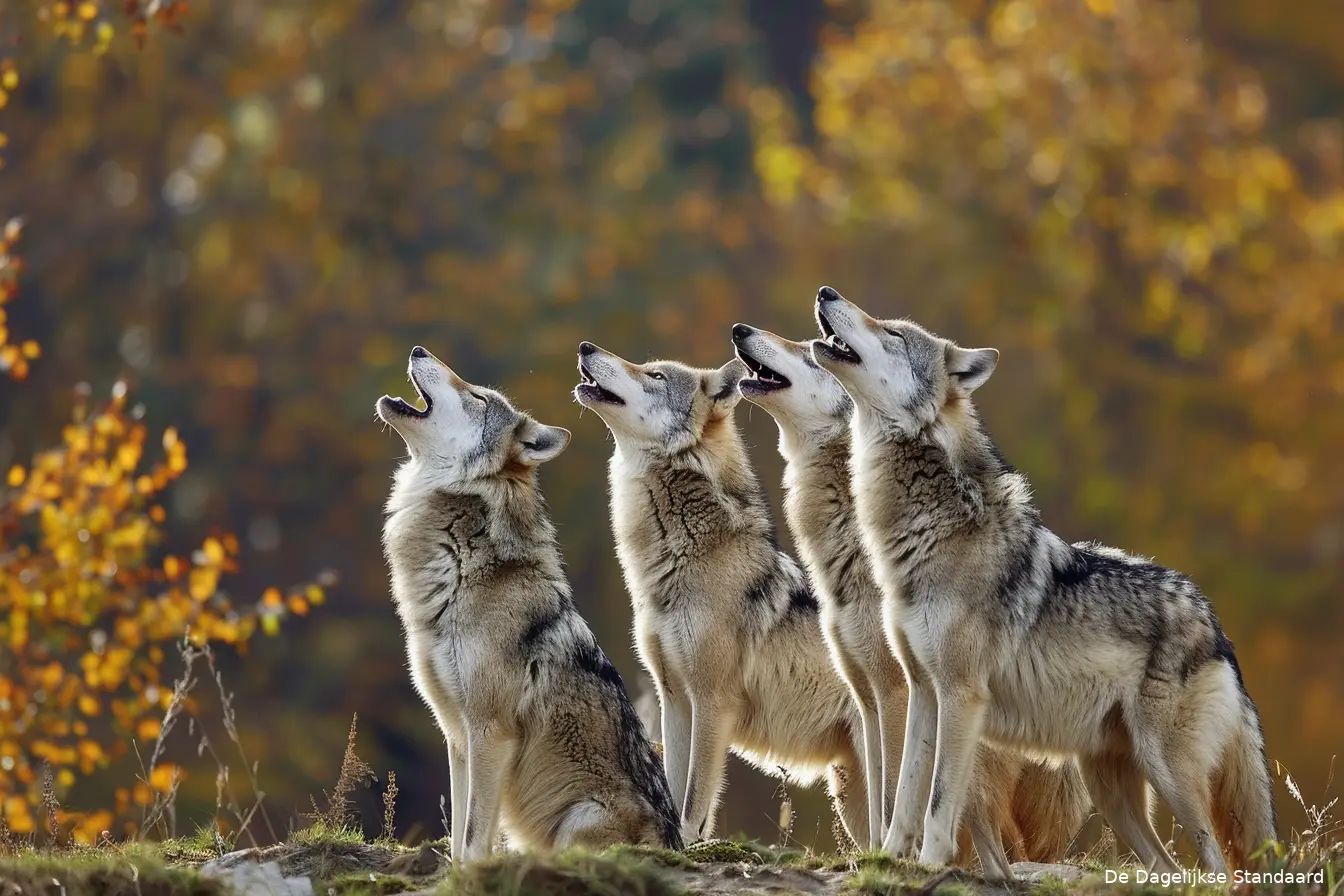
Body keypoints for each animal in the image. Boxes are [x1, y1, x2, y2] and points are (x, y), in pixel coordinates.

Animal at [377, 346, 683, 862]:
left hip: (578, 817)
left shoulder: (490, 733)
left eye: (478, 398)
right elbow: (458, 840)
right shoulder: (457, 737)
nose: (418, 350)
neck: (465, 566)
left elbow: (474, 840)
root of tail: (676, 847)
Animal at [573, 341, 874, 848]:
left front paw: (691, 845)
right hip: (852, 796)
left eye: (655, 376)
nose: (586, 347)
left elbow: (694, 799)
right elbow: (673, 789)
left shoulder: (713, 700)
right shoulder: (674, 698)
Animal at [731, 322, 1091, 876]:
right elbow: (888, 796)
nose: (740, 330)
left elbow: (899, 790)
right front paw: (880, 856)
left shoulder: (897, 692)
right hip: (848, 779)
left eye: (805, 352)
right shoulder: (868, 696)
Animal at [808, 287, 1276, 875]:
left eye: (892, 333)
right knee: (1169, 867)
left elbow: (938, 803)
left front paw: (933, 866)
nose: (827, 292)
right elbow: (906, 796)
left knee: (1216, 866)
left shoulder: (962, 696)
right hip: (1110, 789)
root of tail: (1215, 625)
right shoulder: (922, 691)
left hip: (1169, 775)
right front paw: (890, 861)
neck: (929, 528)